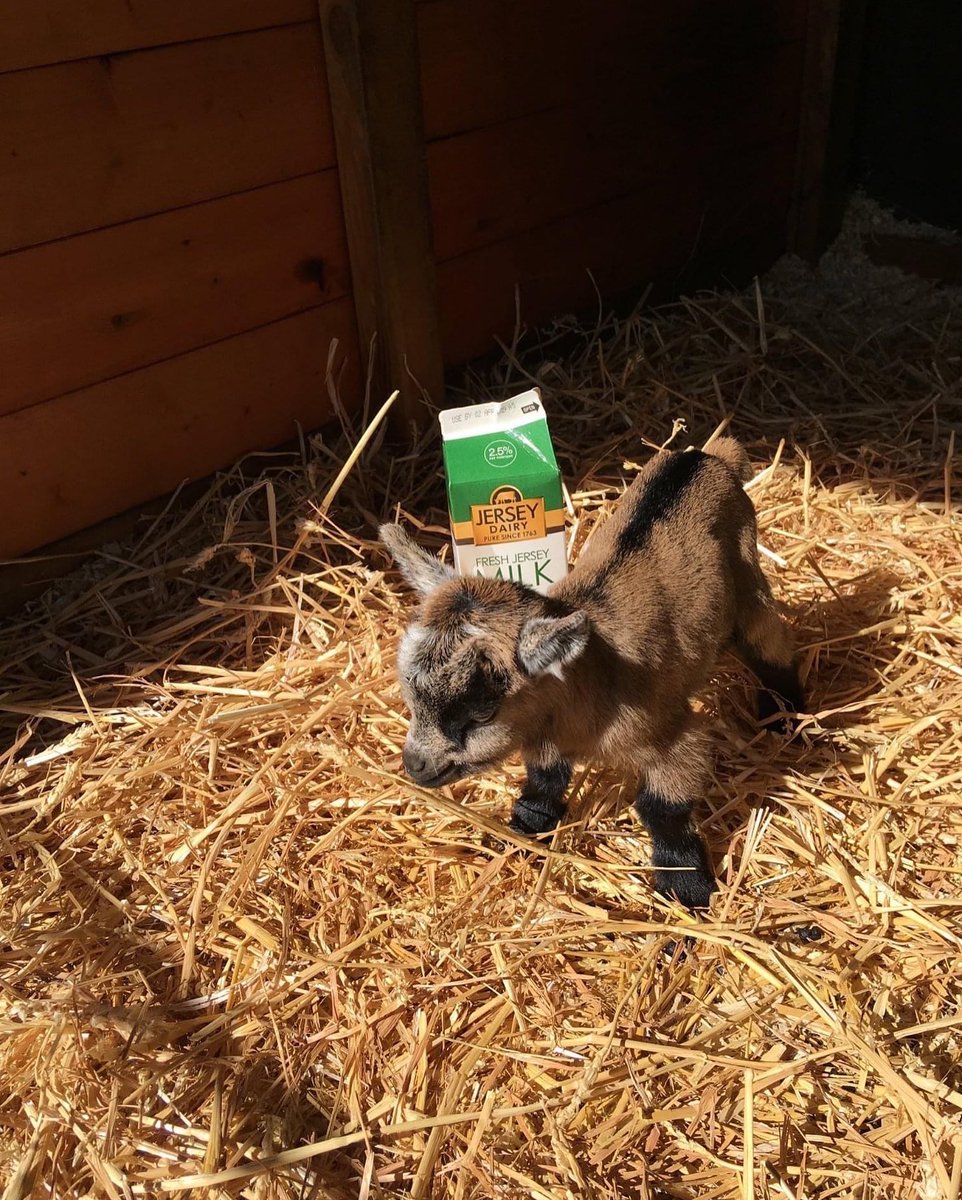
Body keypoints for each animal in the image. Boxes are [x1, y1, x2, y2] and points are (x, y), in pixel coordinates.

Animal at [379, 437, 804, 909]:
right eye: (410, 696)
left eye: (482, 713)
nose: (415, 765)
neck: (594, 673)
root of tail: (704, 457)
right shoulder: (545, 738)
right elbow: (543, 786)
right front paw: (522, 833)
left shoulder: (668, 732)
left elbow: (662, 806)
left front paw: (686, 888)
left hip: (747, 574)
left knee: (770, 641)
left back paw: (787, 719)